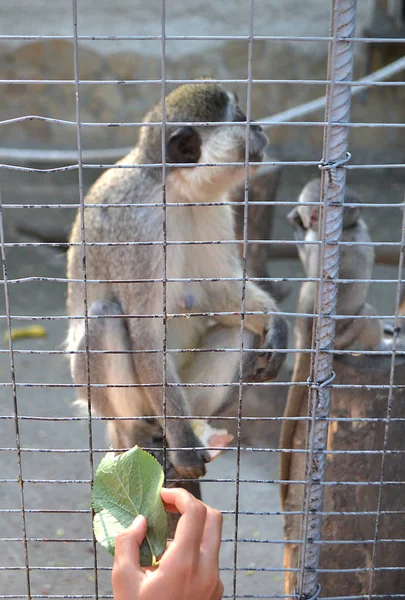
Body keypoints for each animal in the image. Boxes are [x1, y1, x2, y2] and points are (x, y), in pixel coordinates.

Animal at [66, 82, 288, 480]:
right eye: (239, 117)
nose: (259, 126)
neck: (176, 190)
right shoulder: (141, 228)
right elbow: (145, 333)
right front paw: (184, 445)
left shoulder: (213, 206)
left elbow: (218, 289)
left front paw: (275, 323)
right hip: (103, 396)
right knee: (105, 316)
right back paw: (141, 431)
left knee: (240, 333)